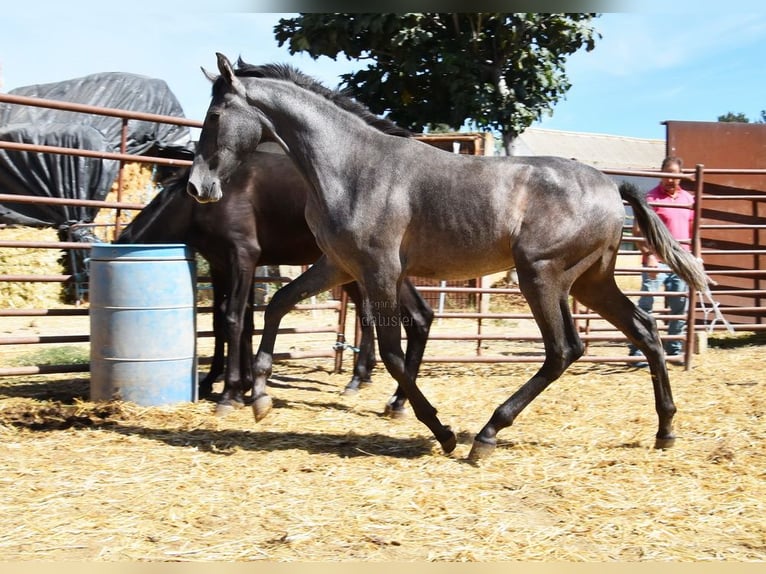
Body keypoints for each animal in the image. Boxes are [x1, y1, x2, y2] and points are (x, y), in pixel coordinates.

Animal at [118, 151, 436, 416]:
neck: (197, 205)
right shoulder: (223, 265)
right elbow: (229, 322)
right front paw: (234, 384)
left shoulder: (242, 257)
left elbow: (233, 320)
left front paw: (230, 393)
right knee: (390, 317)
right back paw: (377, 390)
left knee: (415, 317)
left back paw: (394, 398)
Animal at [188, 54, 712, 466]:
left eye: (214, 115)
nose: (197, 187)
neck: (352, 166)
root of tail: (611, 185)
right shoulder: (337, 265)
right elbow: (277, 306)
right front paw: (259, 398)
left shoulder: (379, 270)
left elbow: (393, 353)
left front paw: (439, 432)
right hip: (590, 281)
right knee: (644, 329)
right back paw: (665, 430)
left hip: (541, 275)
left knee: (564, 349)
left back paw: (485, 436)